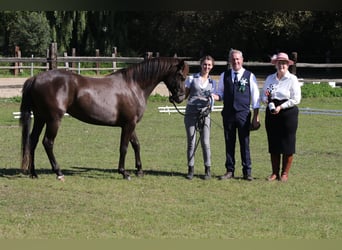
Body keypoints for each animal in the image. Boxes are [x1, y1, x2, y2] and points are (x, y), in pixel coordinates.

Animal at [19, 57, 188, 181]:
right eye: (181, 76)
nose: (180, 97)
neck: (133, 86)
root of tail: (35, 79)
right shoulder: (128, 124)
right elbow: (124, 147)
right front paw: (124, 172)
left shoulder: (130, 124)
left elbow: (136, 145)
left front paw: (139, 170)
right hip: (53, 120)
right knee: (48, 142)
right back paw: (58, 172)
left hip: (40, 118)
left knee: (32, 141)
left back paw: (33, 173)